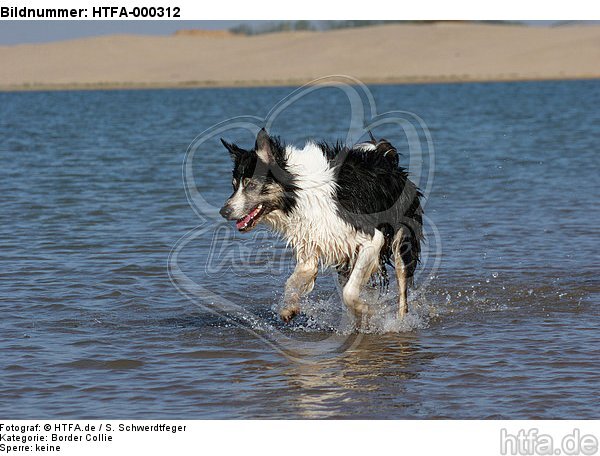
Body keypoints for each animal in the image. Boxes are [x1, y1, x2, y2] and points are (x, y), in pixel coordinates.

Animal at [219, 128, 422, 324]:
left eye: (251, 185)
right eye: (234, 185)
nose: (224, 211)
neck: (299, 192)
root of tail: (387, 158)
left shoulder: (372, 238)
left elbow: (349, 293)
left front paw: (367, 309)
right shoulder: (311, 244)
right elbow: (294, 280)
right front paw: (288, 308)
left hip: (401, 240)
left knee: (402, 286)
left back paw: (399, 323)